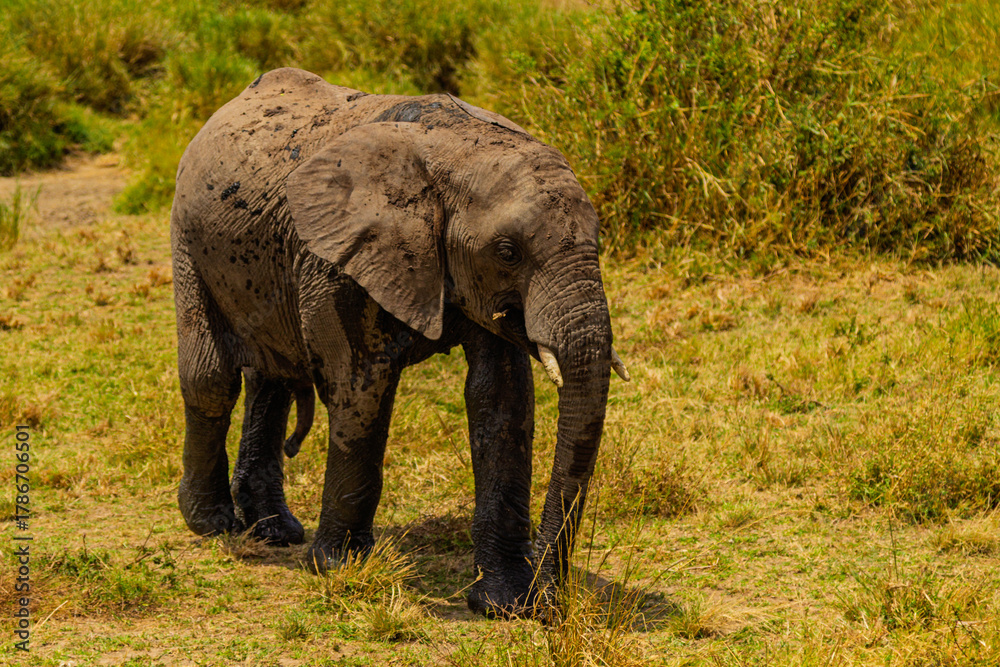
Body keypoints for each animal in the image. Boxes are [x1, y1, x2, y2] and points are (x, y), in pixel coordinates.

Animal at [170, 67, 629, 617]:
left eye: (599, 241)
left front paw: (503, 603)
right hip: (188, 236)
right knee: (211, 378)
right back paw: (212, 523)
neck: (454, 150)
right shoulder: (335, 259)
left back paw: (275, 532)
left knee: (271, 378)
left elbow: (500, 399)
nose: (549, 601)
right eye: (507, 252)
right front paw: (342, 568)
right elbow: (363, 387)